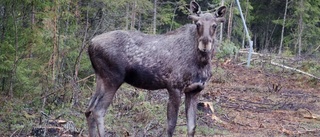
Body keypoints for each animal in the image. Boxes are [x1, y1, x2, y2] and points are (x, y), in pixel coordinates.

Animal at [85, 0, 225, 136]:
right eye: (198, 24)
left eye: (214, 25)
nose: (205, 43)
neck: (201, 63)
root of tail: (90, 44)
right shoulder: (174, 87)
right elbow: (171, 126)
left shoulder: (194, 91)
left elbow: (192, 127)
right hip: (113, 79)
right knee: (98, 111)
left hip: (100, 78)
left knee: (89, 110)